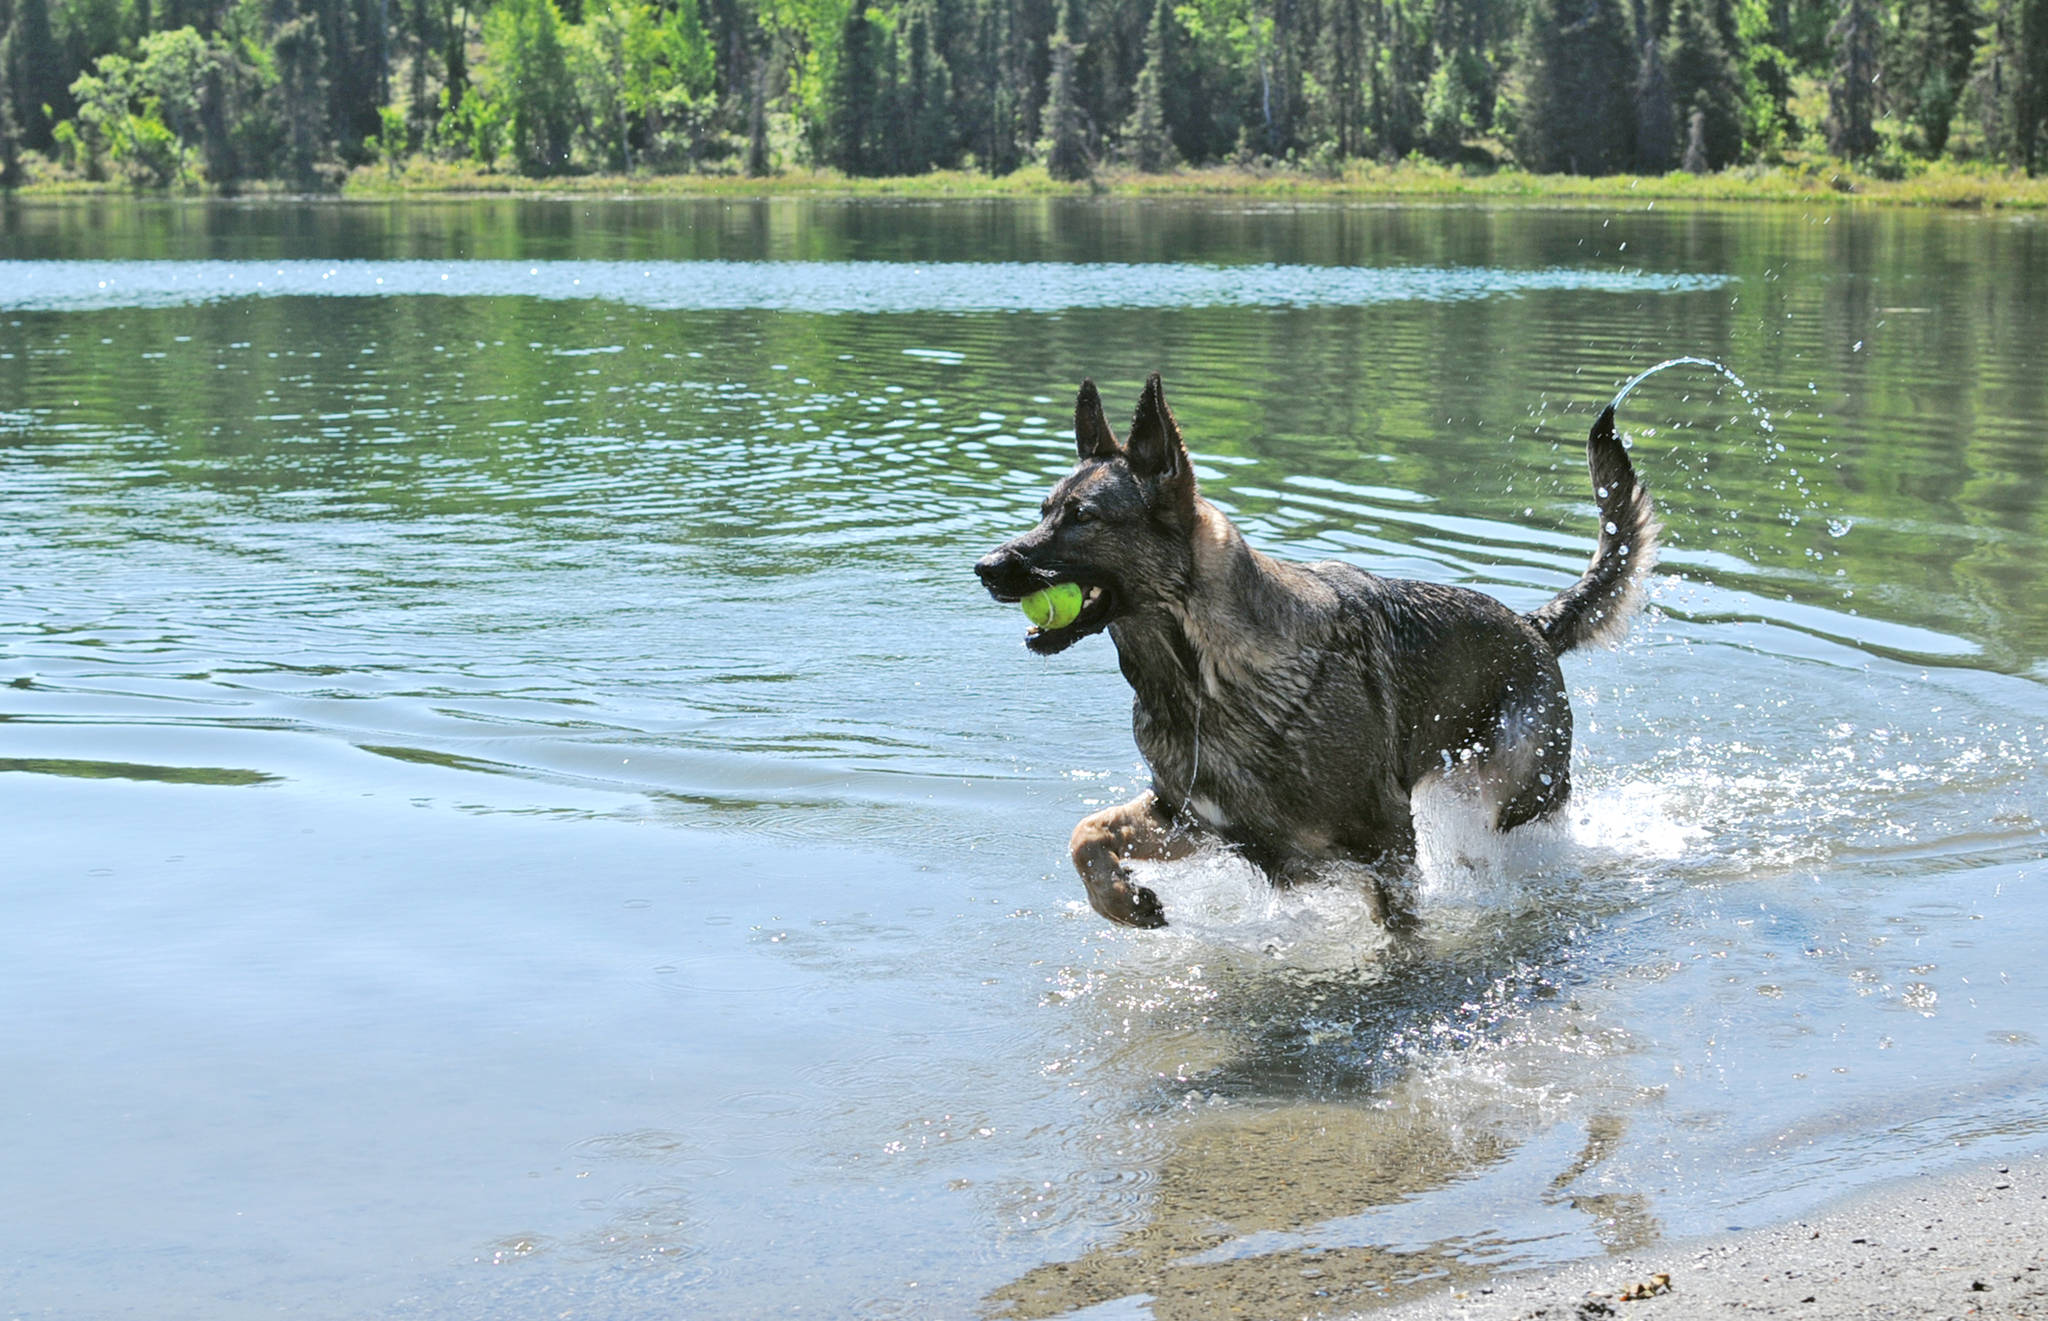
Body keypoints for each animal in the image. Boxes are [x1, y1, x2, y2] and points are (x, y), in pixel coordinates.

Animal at [966, 370, 1654, 925]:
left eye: (1082, 517)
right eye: (1044, 511)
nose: (985, 568)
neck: (1202, 680)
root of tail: (1532, 626)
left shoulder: (1385, 844)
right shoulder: (1202, 822)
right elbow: (1084, 834)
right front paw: (1124, 903)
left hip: (1506, 803)